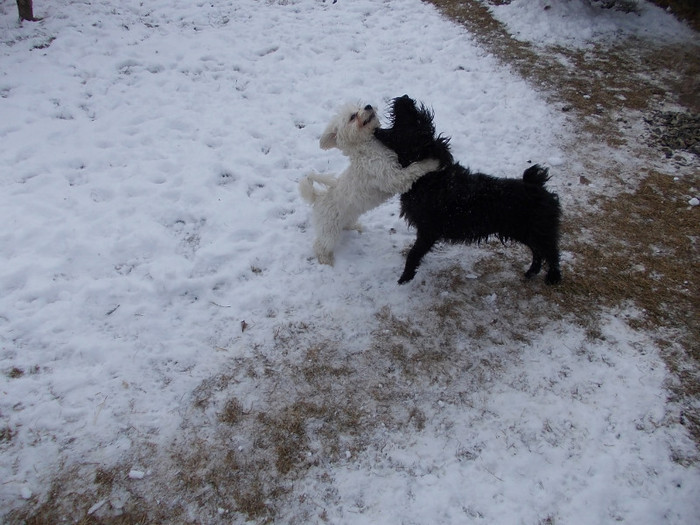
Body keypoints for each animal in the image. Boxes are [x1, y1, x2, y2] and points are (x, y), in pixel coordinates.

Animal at [300, 101, 438, 266]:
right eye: (353, 116)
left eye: (359, 106)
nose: (368, 106)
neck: (368, 147)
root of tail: (318, 197)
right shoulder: (393, 178)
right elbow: (414, 168)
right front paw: (431, 163)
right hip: (329, 229)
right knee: (320, 245)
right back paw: (325, 260)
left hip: (349, 216)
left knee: (345, 225)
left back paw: (355, 227)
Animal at [374, 94, 560, 282]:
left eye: (417, 121)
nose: (405, 98)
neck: (429, 178)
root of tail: (536, 185)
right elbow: (418, 252)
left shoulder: (428, 230)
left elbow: (414, 253)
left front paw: (405, 277)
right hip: (526, 232)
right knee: (538, 252)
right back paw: (532, 272)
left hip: (537, 232)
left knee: (552, 253)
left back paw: (553, 277)